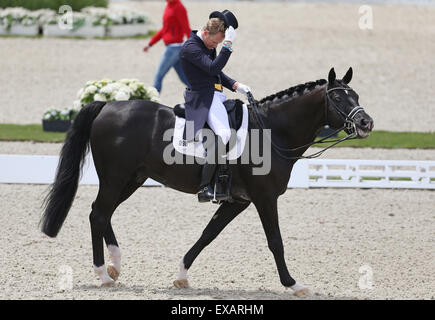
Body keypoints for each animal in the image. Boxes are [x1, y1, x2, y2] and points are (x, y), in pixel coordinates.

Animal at [41, 68, 374, 298]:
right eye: (338, 97)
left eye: (356, 96)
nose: (366, 123)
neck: (271, 132)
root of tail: (108, 106)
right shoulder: (264, 198)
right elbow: (275, 241)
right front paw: (294, 284)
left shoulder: (238, 201)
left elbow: (208, 235)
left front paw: (182, 275)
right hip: (116, 177)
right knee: (99, 213)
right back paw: (104, 274)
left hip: (132, 179)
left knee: (102, 214)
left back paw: (115, 265)